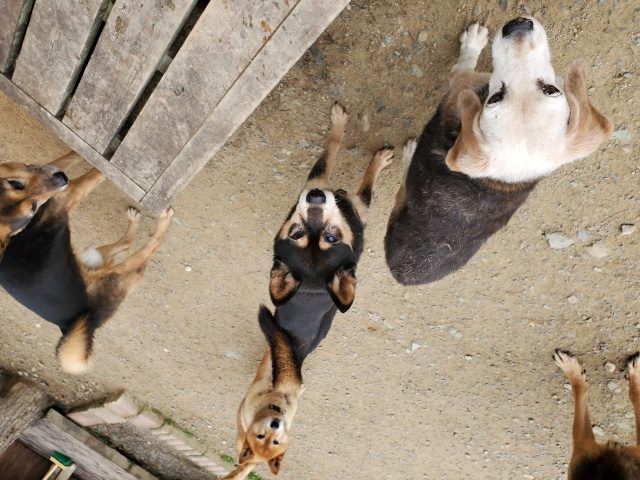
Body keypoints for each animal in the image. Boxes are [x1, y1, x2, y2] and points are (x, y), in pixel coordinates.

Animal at [0, 152, 174, 374]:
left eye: (16, 184)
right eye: (33, 208)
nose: (62, 179)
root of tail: (85, 322)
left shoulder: (46, 171)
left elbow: (69, 158)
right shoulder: (73, 191)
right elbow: (96, 173)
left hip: (91, 256)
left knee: (122, 247)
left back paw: (133, 221)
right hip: (120, 275)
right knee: (147, 252)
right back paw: (163, 221)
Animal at [268, 102, 393, 364]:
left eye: (331, 238)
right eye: (296, 233)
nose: (315, 196)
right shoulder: (351, 197)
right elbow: (334, 149)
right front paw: (341, 125)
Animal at [385, 18, 612, 285]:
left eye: (551, 89)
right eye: (495, 98)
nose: (518, 26)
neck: (495, 180)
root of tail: (404, 275)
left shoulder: (461, 80)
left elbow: (465, 60)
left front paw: (473, 42)